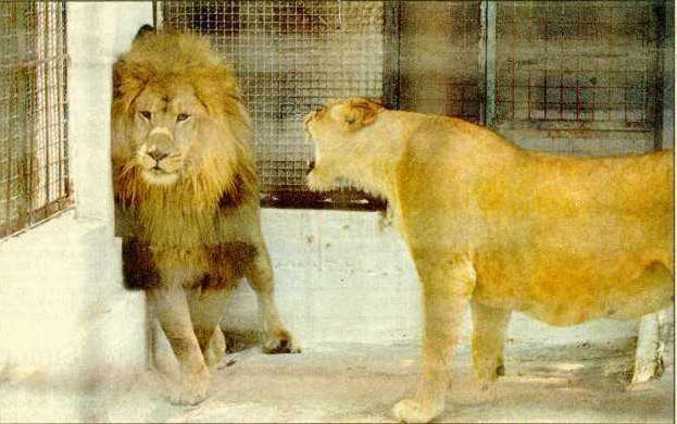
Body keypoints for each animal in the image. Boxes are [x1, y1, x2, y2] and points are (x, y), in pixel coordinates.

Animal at [111, 28, 298, 406]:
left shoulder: (225, 258)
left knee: (265, 285)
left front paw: (205, 361)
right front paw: (194, 380)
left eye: (183, 117)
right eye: (146, 114)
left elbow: (202, 322)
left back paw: (277, 336)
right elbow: (181, 332)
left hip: (252, 244)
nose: (156, 154)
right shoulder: (158, 264)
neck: (181, 193)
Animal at [304, 97, 672, 422]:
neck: (391, 158)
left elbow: (435, 349)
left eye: (321, 110)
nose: (305, 114)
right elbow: (484, 344)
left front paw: (422, 410)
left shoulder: (446, 271)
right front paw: (480, 393)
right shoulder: (489, 287)